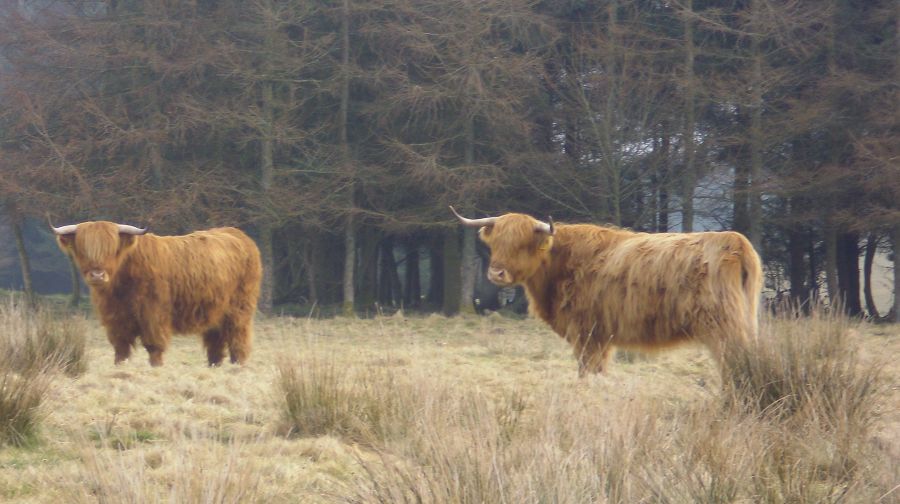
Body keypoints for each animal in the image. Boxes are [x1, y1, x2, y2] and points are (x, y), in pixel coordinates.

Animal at [52, 220, 262, 366]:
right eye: (83, 249)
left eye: (112, 249)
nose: (97, 275)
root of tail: (238, 234)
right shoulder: (115, 318)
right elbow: (120, 347)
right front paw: (119, 365)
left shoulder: (153, 314)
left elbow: (154, 345)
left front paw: (157, 366)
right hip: (214, 312)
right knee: (215, 341)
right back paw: (214, 365)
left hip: (239, 309)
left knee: (238, 337)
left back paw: (238, 364)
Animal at [450, 207, 760, 376]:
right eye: (495, 243)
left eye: (522, 244)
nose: (496, 273)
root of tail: (735, 242)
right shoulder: (601, 336)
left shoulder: (586, 332)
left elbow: (587, 369)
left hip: (723, 327)